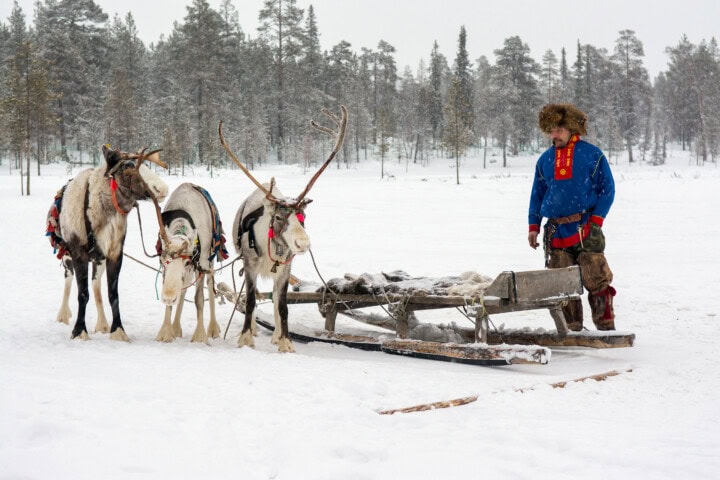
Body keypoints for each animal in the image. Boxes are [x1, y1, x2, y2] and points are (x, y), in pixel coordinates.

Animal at [46, 145, 169, 341]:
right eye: (127, 166)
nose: (162, 188)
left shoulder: (114, 253)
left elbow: (112, 294)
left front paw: (117, 330)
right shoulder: (78, 252)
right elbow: (82, 293)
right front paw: (79, 330)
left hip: (98, 259)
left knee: (96, 286)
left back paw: (102, 323)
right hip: (66, 255)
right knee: (68, 280)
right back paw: (63, 315)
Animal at [154, 182, 229, 344]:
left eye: (187, 261)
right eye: (163, 260)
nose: (168, 297)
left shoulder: (200, 265)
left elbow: (199, 299)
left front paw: (200, 335)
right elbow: (172, 300)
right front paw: (166, 332)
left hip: (210, 261)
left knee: (211, 288)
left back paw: (213, 328)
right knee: (183, 288)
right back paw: (176, 327)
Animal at [218, 105, 348, 352]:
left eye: (303, 217)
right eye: (279, 217)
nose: (302, 243)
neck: (273, 248)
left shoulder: (286, 269)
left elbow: (283, 305)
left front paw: (285, 341)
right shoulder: (250, 264)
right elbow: (250, 300)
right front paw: (245, 338)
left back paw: (276, 334)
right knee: (251, 296)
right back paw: (254, 328)